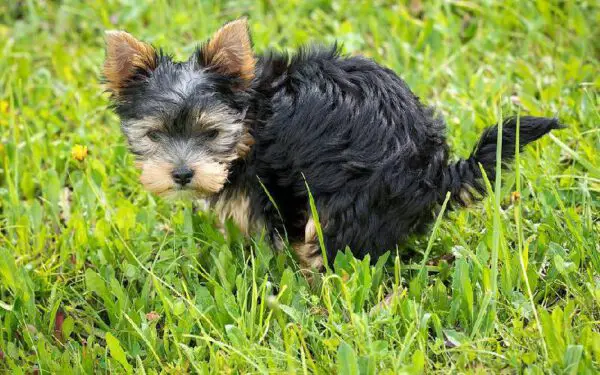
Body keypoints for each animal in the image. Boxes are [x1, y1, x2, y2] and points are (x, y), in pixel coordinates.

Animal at [104, 19, 564, 272]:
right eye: (155, 135)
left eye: (212, 134)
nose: (183, 174)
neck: (253, 115)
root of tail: (436, 171)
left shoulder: (273, 183)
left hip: (352, 199)